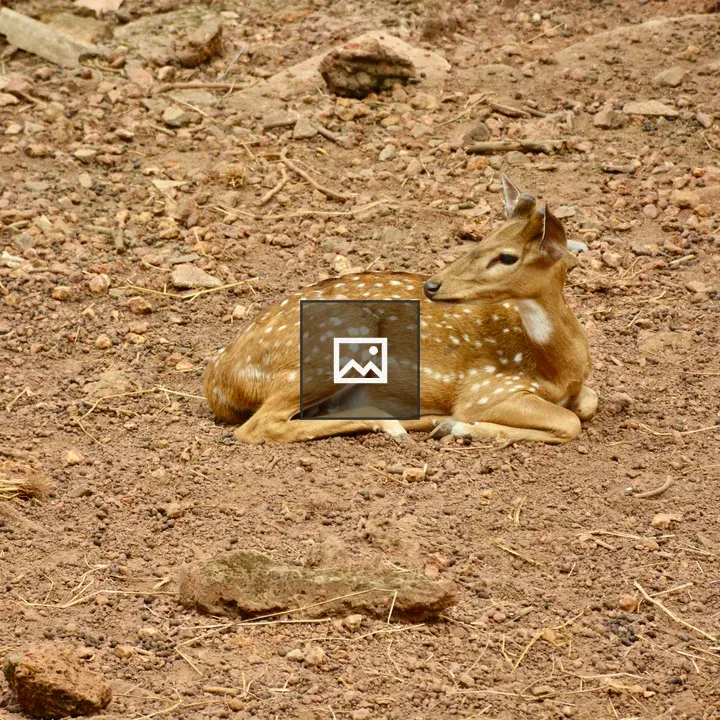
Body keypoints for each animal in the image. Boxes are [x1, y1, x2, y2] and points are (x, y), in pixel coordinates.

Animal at [203, 176, 597, 444]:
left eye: (507, 256)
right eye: (482, 239)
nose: (432, 285)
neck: (558, 368)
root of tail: (218, 379)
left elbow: (587, 405)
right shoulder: (486, 389)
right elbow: (569, 422)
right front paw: (458, 425)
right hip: (335, 347)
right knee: (260, 426)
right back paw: (404, 422)